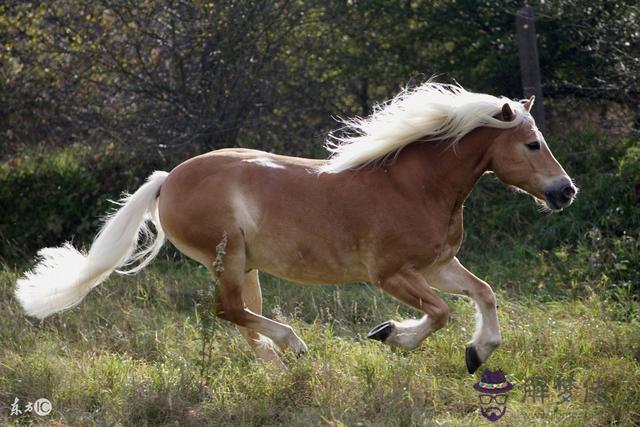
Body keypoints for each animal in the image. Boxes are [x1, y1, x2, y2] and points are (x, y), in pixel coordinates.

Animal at [15, 83, 576, 374]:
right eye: (531, 144)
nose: (565, 192)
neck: (414, 186)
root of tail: (167, 179)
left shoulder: (437, 265)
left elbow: (484, 294)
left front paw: (477, 353)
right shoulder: (392, 274)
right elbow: (439, 314)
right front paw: (391, 336)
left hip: (246, 266)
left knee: (240, 316)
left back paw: (277, 363)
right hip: (229, 257)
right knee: (227, 310)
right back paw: (295, 347)